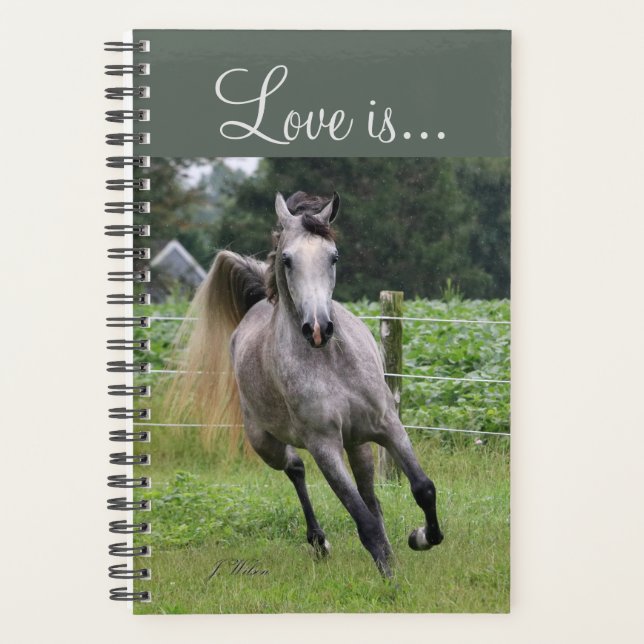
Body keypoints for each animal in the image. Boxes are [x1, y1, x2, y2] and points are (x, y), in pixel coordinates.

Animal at [171, 190, 443, 577]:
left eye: (334, 256)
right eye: (287, 259)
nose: (317, 328)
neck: (330, 362)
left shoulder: (387, 425)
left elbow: (422, 489)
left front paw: (419, 538)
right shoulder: (324, 446)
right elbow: (363, 522)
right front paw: (391, 578)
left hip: (358, 444)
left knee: (370, 496)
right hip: (265, 444)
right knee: (296, 468)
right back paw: (319, 541)